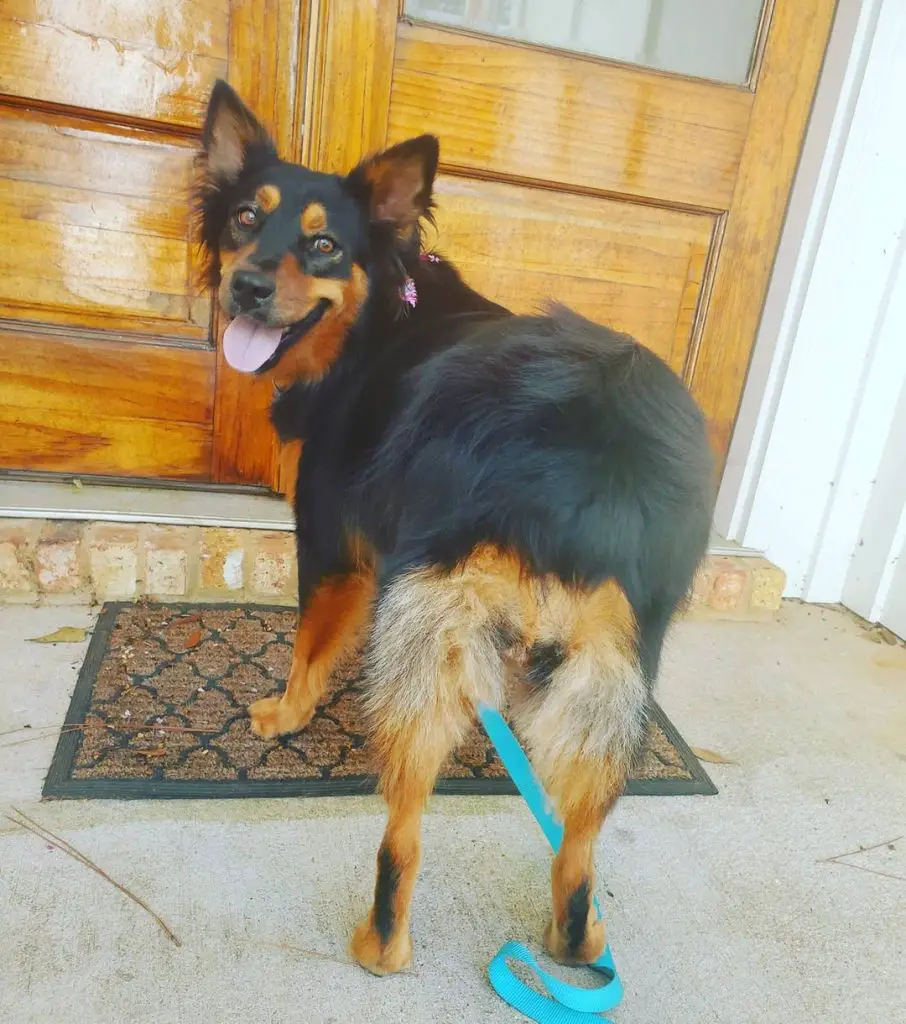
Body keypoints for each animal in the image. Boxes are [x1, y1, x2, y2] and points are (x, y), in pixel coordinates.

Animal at [194, 79, 712, 974]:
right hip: (613, 665)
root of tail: (584, 470)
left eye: (324, 244)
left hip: (433, 629)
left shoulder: (333, 544)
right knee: (577, 849)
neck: (377, 318)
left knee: (402, 837)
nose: (248, 287)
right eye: (243, 220)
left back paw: (381, 942)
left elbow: (308, 645)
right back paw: (575, 937)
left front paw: (286, 715)